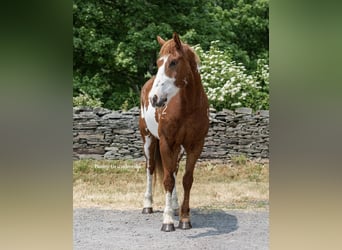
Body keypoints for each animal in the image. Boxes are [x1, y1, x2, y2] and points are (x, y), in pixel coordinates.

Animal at [138, 33, 208, 232]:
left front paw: (184, 218)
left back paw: (176, 206)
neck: (188, 107)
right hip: (148, 139)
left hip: (178, 148)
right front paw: (167, 221)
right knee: (150, 168)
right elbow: (167, 180)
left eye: (174, 62)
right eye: (158, 62)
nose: (154, 98)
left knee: (175, 170)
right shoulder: (166, 143)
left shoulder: (195, 146)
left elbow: (186, 179)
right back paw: (148, 205)